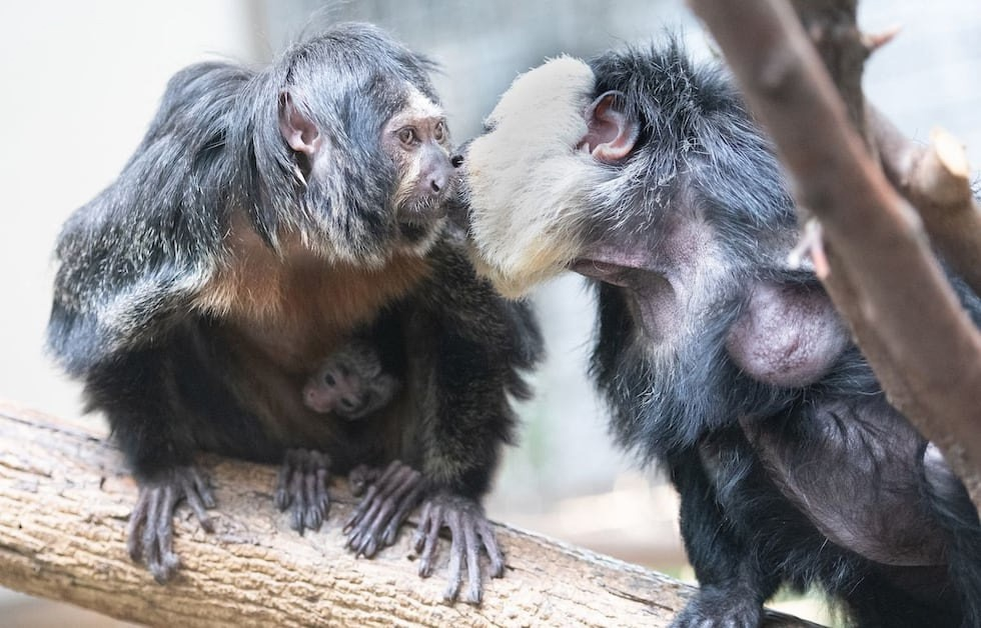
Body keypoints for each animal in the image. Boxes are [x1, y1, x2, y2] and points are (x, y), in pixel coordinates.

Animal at [47, 23, 544, 604]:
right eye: (407, 139)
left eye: (438, 134)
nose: (447, 173)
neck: (304, 224)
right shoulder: (176, 199)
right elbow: (94, 324)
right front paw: (161, 469)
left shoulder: (447, 226)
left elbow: (481, 330)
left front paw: (450, 494)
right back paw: (304, 465)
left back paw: (398, 484)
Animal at [458, 41, 980, 624]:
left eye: (489, 131)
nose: (455, 158)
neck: (665, 233)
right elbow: (693, 433)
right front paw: (728, 594)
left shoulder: (773, 189)